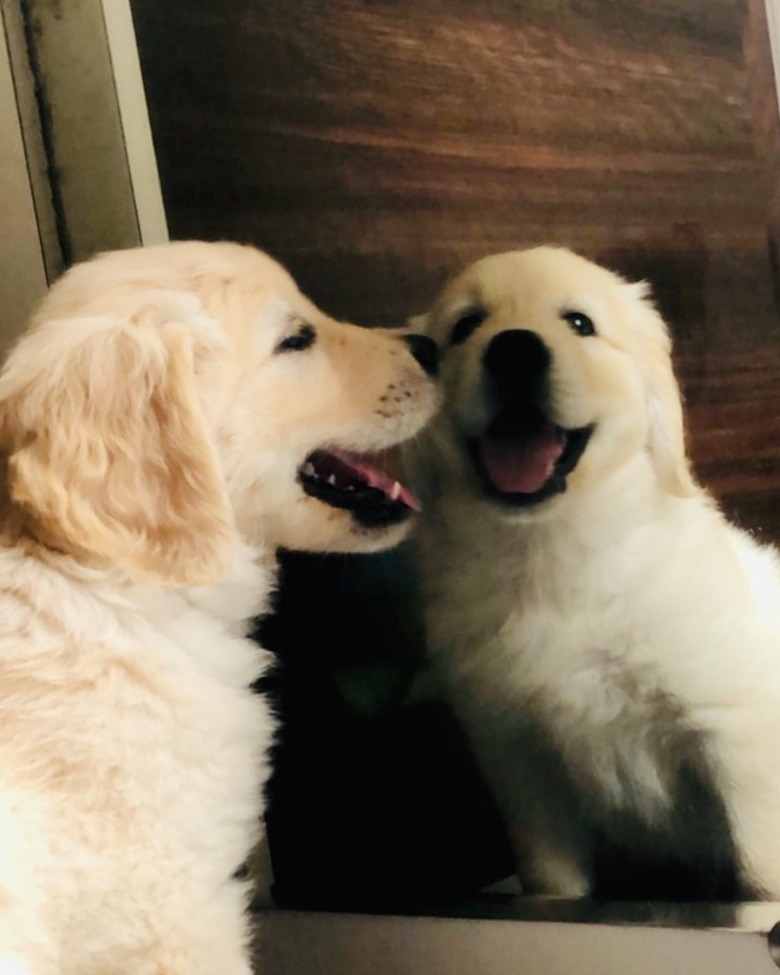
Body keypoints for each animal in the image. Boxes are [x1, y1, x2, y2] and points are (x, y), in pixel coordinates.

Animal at [412, 248, 780, 904]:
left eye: (579, 323)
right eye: (465, 326)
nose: (514, 348)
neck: (553, 551)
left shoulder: (736, 727)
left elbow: (763, 871)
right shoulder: (520, 759)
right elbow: (554, 881)